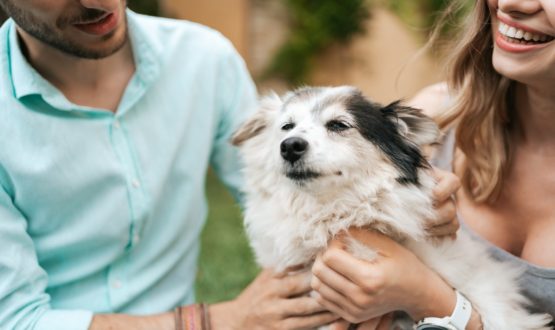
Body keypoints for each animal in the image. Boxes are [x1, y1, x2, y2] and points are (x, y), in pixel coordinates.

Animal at [230, 86, 552, 328]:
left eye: (339, 125)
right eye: (286, 127)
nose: (290, 146)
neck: (333, 215)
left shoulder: (488, 284)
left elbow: (497, 314)